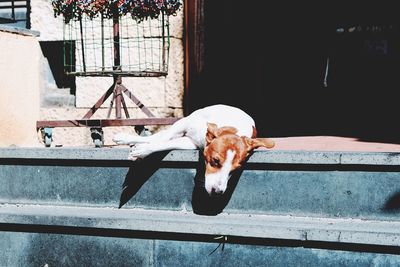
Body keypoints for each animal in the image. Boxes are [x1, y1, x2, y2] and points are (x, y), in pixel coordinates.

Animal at [112, 105, 276, 196]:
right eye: (215, 161)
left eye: (236, 170)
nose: (217, 193)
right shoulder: (184, 125)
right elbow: (162, 139)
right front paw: (141, 151)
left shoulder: (191, 143)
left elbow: (165, 144)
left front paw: (142, 151)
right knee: (161, 135)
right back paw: (126, 139)